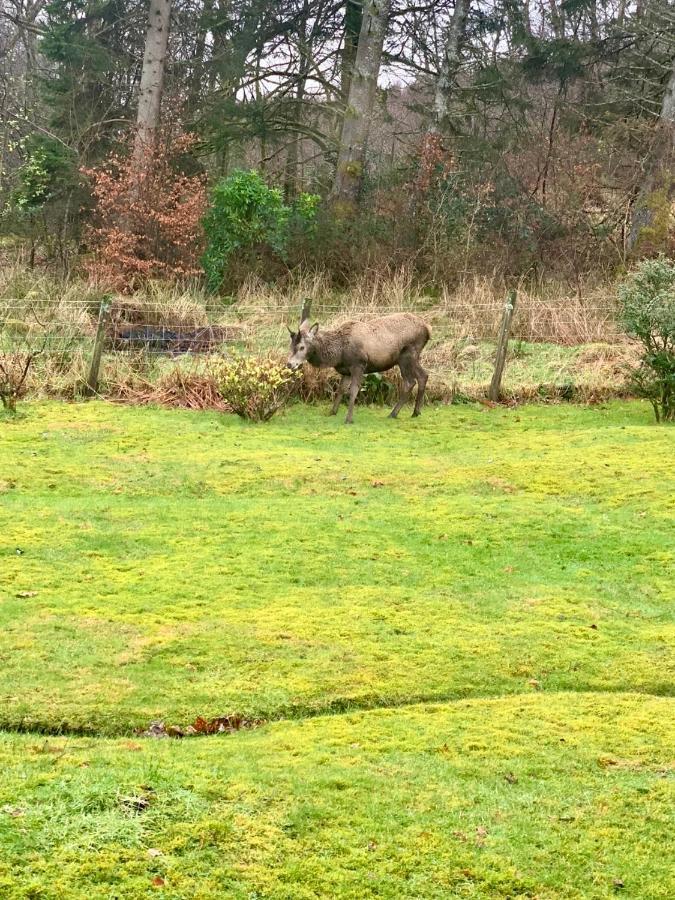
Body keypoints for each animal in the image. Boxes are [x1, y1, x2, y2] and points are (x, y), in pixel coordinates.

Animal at [288, 302, 430, 426]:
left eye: (301, 347)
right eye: (291, 346)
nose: (289, 364)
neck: (338, 354)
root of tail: (428, 329)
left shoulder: (358, 365)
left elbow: (353, 390)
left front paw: (349, 419)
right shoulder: (346, 370)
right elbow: (340, 390)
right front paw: (332, 412)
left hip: (406, 356)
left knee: (410, 382)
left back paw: (393, 413)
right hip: (412, 358)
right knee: (423, 375)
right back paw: (416, 412)